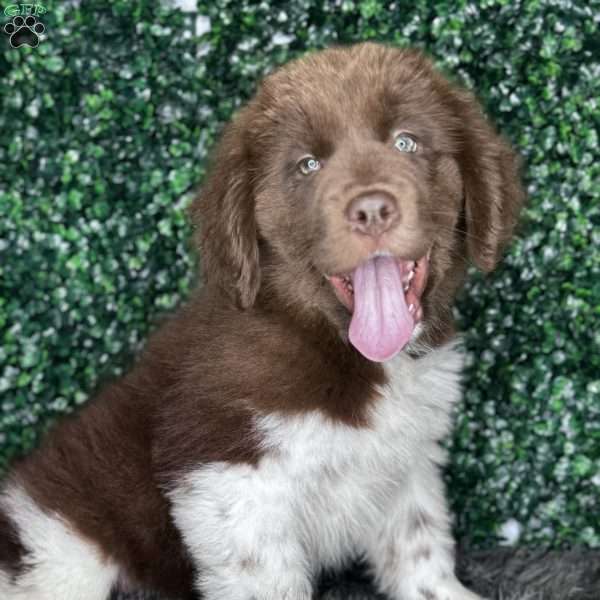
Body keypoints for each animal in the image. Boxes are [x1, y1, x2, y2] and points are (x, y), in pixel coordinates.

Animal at [0, 43, 524, 600]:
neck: (335, 344)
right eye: (308, 165)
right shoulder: (226, 475)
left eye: (406, 141)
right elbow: (267, 578)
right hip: (58, 550)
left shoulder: (405, 458)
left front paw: (445, 591)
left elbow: (419, 542)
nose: (371, 210)